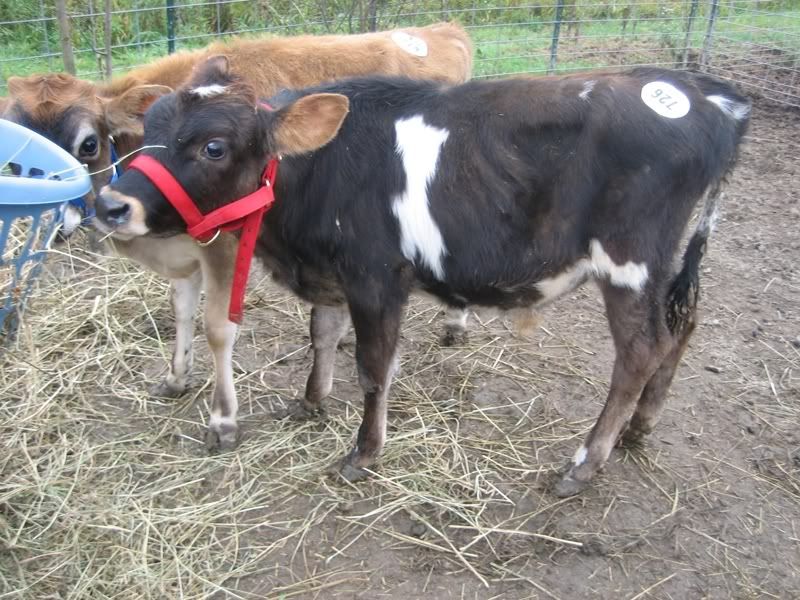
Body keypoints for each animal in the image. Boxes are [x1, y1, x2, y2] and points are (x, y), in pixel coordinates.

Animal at [1, 23, 473, 450]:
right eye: (15, 159)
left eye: (88, 144)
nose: (55, 220)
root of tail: (441, 29)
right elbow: (181, 309)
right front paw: (176, 376)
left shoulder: (226, 246)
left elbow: (217, 328)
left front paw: (223, 420)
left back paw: (454, 322)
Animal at [94, 57, 749, 495]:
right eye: (147, 131)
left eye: (213, 147)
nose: (110, 205)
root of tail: (703, 93)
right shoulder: (331, 272)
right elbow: (322, 335)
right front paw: (310, 403)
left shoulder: (376, 276)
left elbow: (373, 367)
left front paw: (363, 453)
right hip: (664, 264)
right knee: (681, 329)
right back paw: (640, 429)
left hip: (630, 260)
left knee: (640, 351)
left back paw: (585, 463)